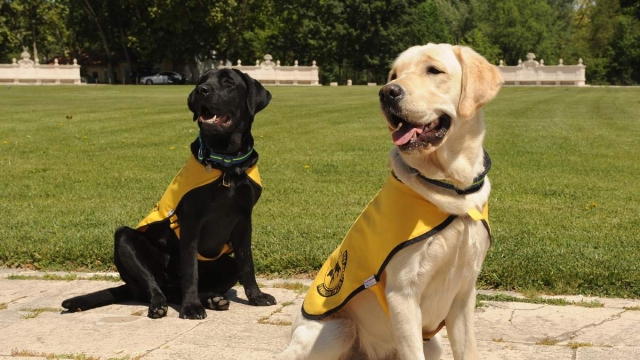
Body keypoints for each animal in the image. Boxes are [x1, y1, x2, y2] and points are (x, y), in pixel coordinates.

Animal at [61, 69, 276, 320]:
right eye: (203, 81)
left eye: (228, 82)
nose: (201, 90)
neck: (226, 165)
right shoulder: (192, 221)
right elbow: (191, 271)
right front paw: (191, 307)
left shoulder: (244, 219)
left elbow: (247, 263)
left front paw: (256, 296)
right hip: (125, 239)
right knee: (155, 288)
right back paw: (162, 304)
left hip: (226, 266)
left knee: (180, 289)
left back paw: (212, 299)